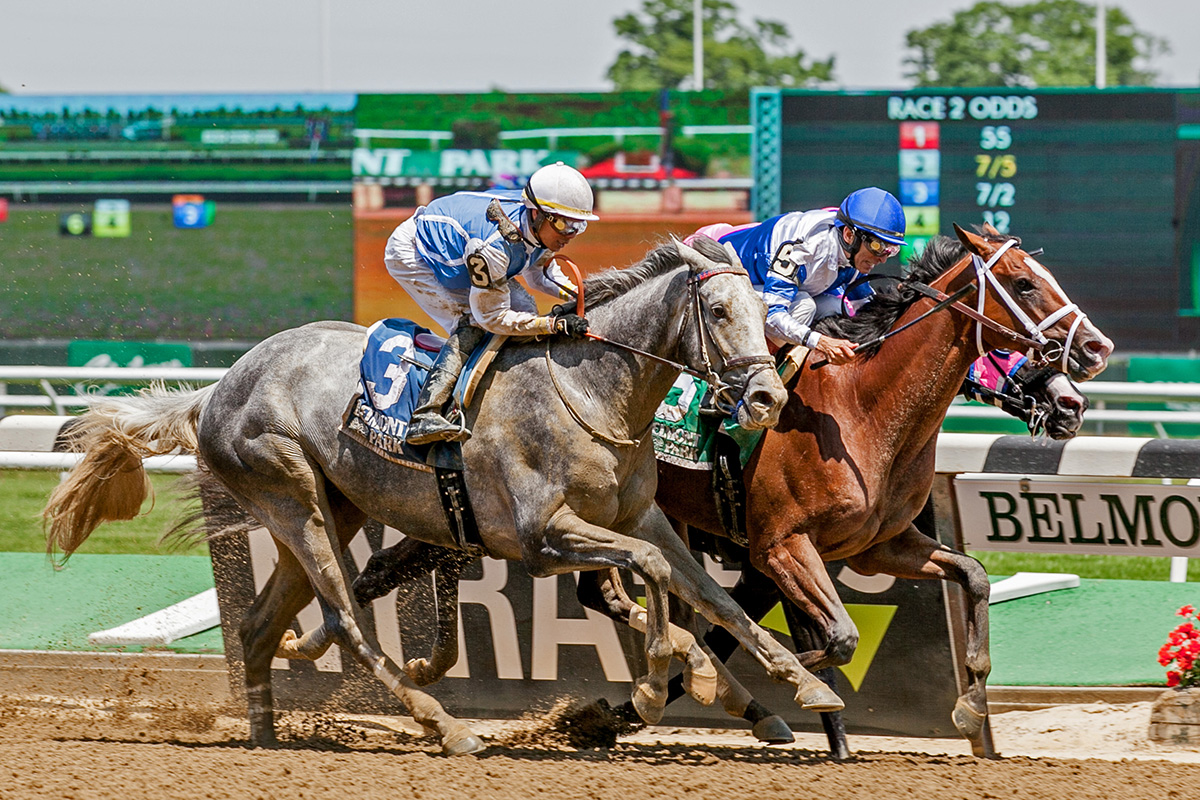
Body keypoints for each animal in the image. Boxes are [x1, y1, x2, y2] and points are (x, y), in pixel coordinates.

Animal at [42, 237, 840, 758]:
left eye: (763, 308)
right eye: (718, 310)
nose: (766, 398)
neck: (593, 391)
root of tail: (215, 390)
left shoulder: (641, 515)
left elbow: (710, 593)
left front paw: (799, 689)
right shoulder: (542, 535)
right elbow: (653, 572)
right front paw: (657, 687)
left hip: (331, 507)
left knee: (260, 625)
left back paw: (266, 736)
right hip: (291, 496)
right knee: (348, 620)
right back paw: (445, 725)